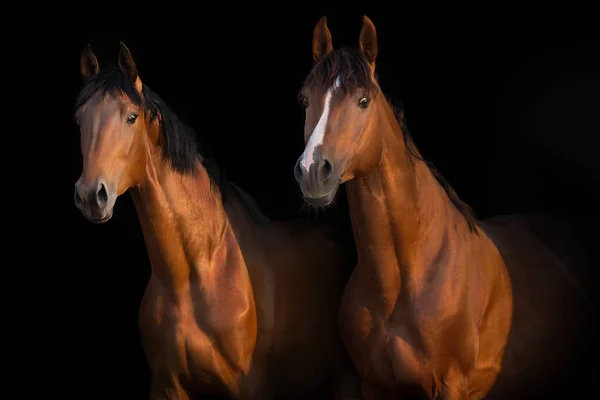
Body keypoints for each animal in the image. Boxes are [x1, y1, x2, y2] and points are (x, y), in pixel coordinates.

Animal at [74, 41, 356, 400]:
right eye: (80, 119)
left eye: (130, 117)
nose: (90, 195)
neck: (194, 275)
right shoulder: (166, 386)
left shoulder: (249, 388)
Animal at [292, 15, 592, 400]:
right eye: (304, 99)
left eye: (363, 101)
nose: (313, 171)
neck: (407, 279)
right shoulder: (372, 385)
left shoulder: (451, 386)